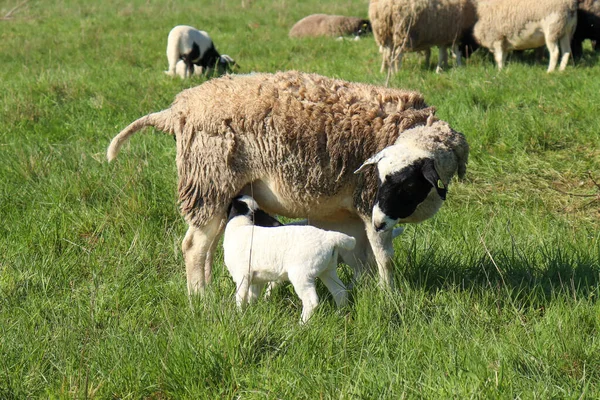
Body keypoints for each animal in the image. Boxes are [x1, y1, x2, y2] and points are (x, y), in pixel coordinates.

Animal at [108, 70, 468, 296]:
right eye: (383, 179)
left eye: (406, 185)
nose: (381, 221)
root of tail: (178, 109)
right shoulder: (368, 203)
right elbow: (383, 257)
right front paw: (388, 295)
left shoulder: (351, 213)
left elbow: (360, 257)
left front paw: (364, 291)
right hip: (208, 179)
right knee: (194, 247)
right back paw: (200, 299)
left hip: (220, 191)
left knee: (206, 247)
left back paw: (207, 291)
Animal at [223, 195, 354, 324]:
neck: (240, 225)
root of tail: (329, 238)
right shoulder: (257, 279)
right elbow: (252, 296)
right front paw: (252, 311)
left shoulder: (243, 275)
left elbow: (240, 298)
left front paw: (239, 316)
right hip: (328, 270)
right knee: (340, 292)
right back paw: (340, 314)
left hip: (302, 274)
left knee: (311, 301)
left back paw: (302, 324)